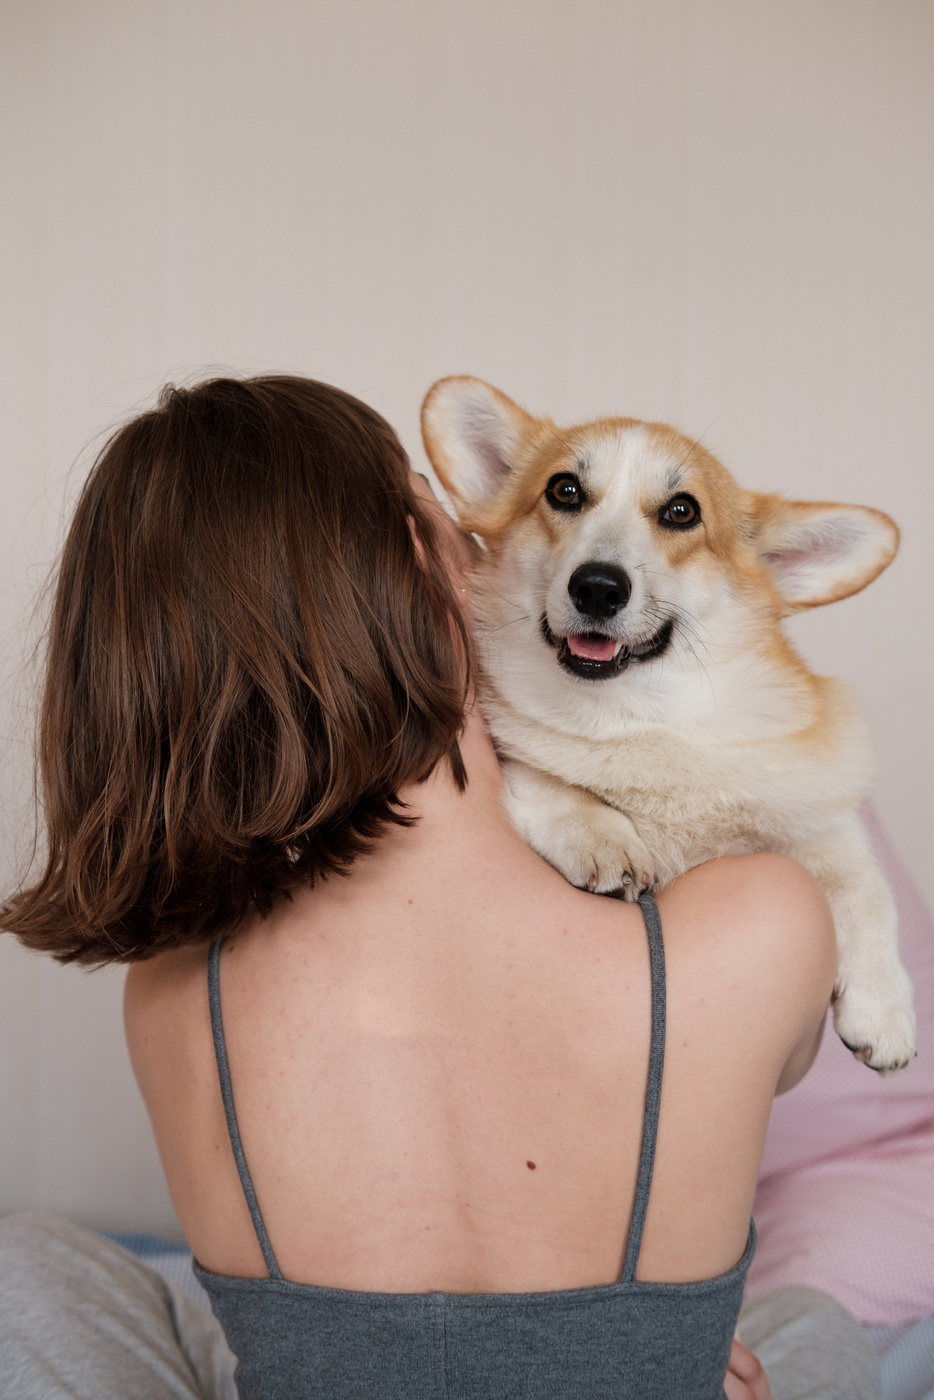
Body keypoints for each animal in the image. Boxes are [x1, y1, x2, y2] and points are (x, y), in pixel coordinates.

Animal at [425, 372, 918, 1069]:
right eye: (563, 489)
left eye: (682, 511)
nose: (597, 587)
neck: (640, 717)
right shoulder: (514, 748)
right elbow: (548, 776)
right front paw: (603, 836)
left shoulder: (814, 806)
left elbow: (863, 879)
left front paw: (883, 1007)